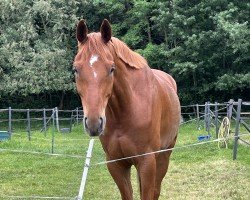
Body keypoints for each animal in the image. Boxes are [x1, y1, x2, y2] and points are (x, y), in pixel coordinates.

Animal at [73, 19, 181, 200]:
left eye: (111, 69)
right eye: (75, 69)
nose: (94, 123)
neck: (126, 112)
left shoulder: (146, 162)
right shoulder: (116, 164)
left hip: (164, 155)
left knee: (156, 190)